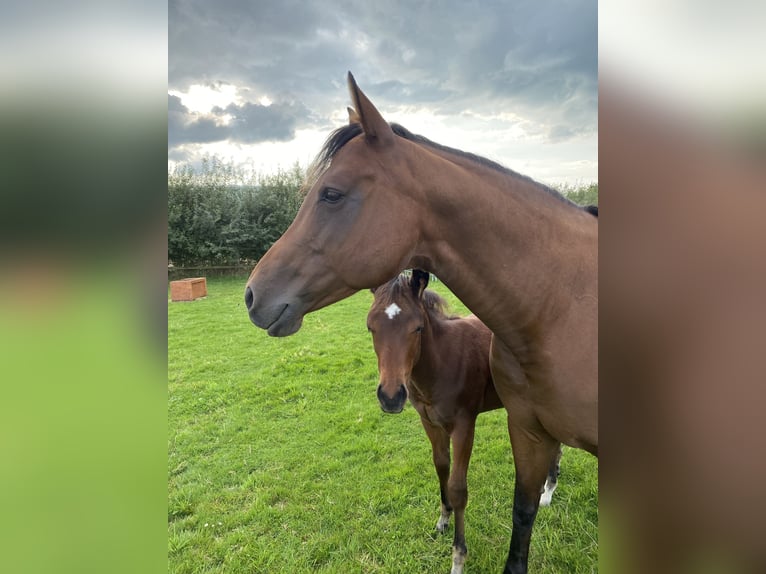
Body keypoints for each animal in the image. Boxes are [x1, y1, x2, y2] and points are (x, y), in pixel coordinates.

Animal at [368, 269, 562, 574]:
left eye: (417, 328)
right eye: (371, 328)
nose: (390, 397)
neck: (442, 362)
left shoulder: (464, 425)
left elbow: (458, 488)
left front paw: (458, 558)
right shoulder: (430, 423)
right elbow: (441, 467)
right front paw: (443, 519)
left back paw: (548, 492)